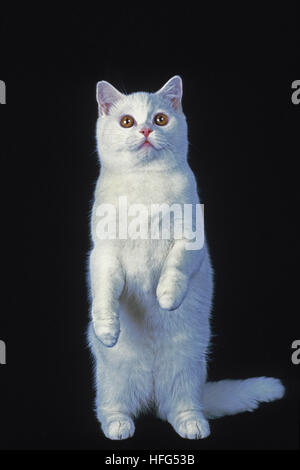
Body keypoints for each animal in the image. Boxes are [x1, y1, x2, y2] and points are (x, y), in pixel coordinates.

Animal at [86, 75, 284, 438]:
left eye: (160, 119)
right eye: (127, 121)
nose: (145, 130)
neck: (145, 188)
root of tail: (151, 392)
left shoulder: (191, 239)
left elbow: (174, 269)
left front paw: (166, 298)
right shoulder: (103, 255)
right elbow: (105, 293)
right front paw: (107, 330)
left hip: (186, 368)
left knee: (178, 408)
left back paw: (193, 426)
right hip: (115, 378)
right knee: (110, 407)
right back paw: (119, 426)